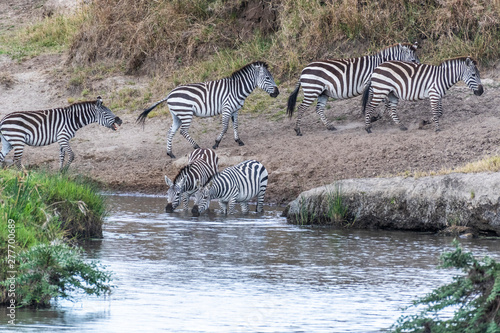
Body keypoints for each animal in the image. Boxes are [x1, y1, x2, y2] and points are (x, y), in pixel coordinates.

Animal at [135, 62, 280, 158]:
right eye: (268, 78)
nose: (277, 93)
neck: (237, 89)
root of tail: (169, 94)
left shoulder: (235, 110)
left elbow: (236, 125)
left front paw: (238, 141)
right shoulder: (227, 108)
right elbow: (225, 127)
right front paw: (216, 143)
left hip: (176, 116)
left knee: (171, 132)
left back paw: (170, 153)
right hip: (186, 114)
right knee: (183, 131)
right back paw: (196, 147)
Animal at [286, 42, 418, 136]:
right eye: (413, 60)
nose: (417, 71)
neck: (381, 65)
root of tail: (303, 70)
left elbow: (384, 104)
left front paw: (373, 118)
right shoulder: (373, 86)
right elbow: (378, 103)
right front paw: (371, 119)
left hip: (323, 93)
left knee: (319, 109)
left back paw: (330, 126)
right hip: (312, 90)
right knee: (301, 108)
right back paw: (298, 130)